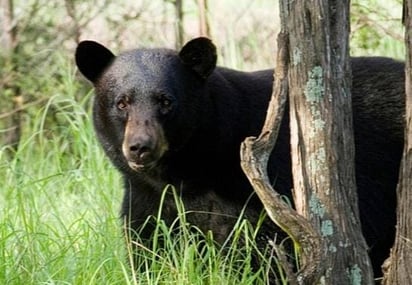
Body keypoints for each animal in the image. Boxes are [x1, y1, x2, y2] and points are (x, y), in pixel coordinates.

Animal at [75, 37, 406, 278]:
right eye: (121, 103)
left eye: (166, 101)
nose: (140, 146)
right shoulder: (147, 197)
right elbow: (148, 244)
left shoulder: (257, 190)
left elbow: (261, 248)